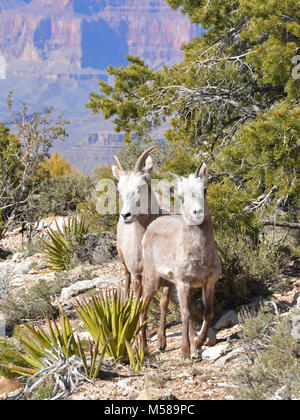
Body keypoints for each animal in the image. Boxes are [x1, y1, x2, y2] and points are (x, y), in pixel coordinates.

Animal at [112, 146, 164, 296]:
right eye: (119, 190)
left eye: (141, 187)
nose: (126, 215)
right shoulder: (136, 274)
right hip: (123, 260)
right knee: (126, 276)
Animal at [141, 163, 223, 358]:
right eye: (181, 197)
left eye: (204, 190)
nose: (197, 212)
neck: (200, 257)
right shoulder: (183, 282)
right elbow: (185, 313)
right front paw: (185, 351)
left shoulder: (208, 282)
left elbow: (208, 313)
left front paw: (198, 343)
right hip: (152, 279)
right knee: (143, 307)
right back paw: (144, 349)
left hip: (168, 283)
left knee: (163, 303)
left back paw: (162, 344)